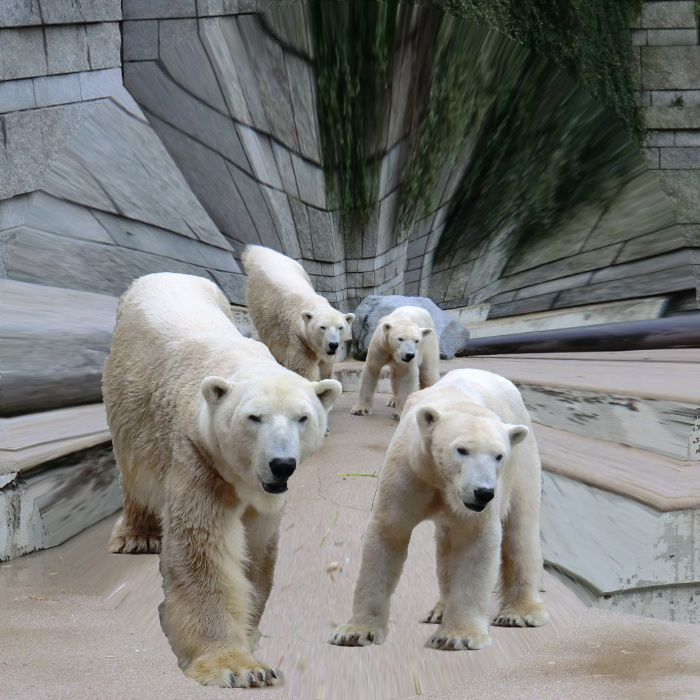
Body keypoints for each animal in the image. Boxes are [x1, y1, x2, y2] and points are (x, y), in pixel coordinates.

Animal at [103, 270, 342, 688]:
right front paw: (239, 666)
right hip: (128, 400)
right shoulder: (198, 455)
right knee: (134, 472)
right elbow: (204, 553)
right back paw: (137, 537)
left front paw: (250, 633)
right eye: (254, 417)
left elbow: (256, 550)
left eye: (303, 417)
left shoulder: (266, 499)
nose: (282, 464)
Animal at [243, 243, 358, 380]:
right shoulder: (299, 341)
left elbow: (325, 368)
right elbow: (303, 370)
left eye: (340, 327)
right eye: (322, 327)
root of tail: (257, 250)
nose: (333, 344)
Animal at [330, 366, 548, 652]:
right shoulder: (410, 472)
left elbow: (476, 541)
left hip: (523, 462)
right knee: (447, 543)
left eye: (498, 455)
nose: (483, 492)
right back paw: (439, 610)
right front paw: (354, 633)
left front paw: (458, 636)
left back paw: (519, 614)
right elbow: (389, 531)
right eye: (462, 450)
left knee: (521, 527)